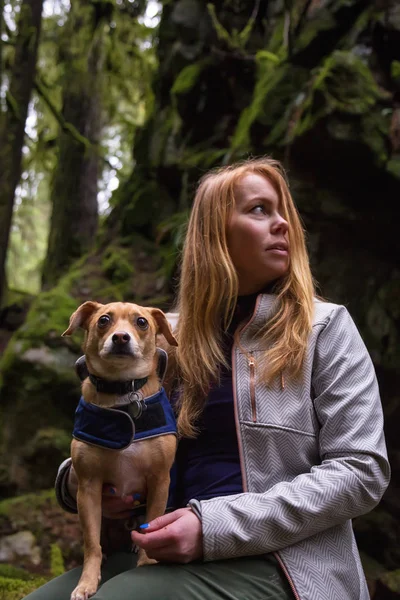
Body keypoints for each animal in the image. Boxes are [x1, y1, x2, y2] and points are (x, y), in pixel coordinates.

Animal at [63, 302, 178, 600]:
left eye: (142, 322)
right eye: (103, 320)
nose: (121, 338)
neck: (122, 394)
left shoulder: (160, 480)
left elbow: (153, 522)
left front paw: (147, 562)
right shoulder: (88, 487)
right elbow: (92, 543)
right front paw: (86, 582)